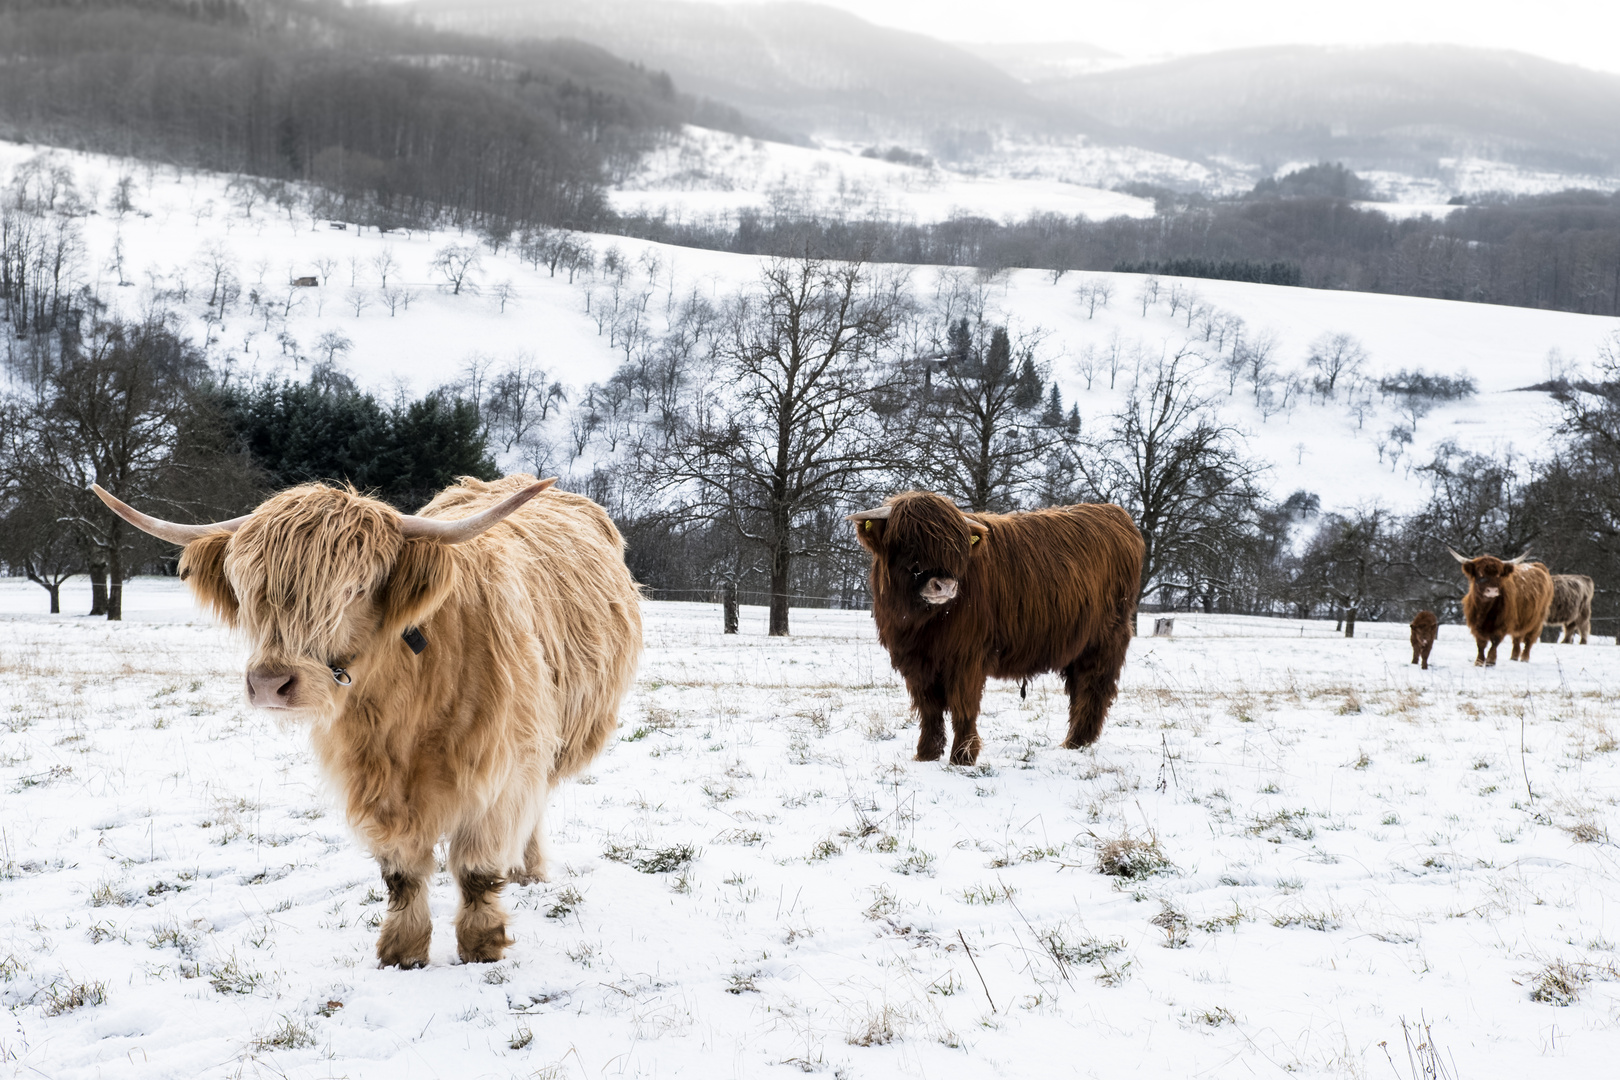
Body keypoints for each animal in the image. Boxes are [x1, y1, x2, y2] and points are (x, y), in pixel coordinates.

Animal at [91, 476, 641, 965]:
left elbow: (477, 869)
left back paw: (529, 872)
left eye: (355, 590)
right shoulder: (372, 781)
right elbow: (401, 874)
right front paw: (403, 952)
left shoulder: (502, 769)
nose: (269, 683)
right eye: (248, 593)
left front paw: (482, 947)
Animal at [855, 488, 1146, 767]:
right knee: (1080, 690)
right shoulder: (914, 661)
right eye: (907, 541)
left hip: (1104, 639)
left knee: (1093, 688)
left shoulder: (967, 656)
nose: (944, 585)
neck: (922, 622)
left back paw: (1078, 742)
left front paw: (962, 757)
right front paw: (926, 754)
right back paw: (1075, 742)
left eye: (955, 547)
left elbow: (963, 705)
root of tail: (1114, 513)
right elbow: (929, 709)